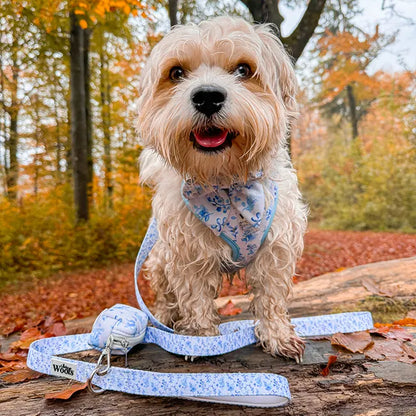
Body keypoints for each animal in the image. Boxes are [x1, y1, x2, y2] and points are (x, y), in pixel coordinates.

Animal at [138, 16, 308, 360]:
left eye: (243, 69)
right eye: (176, 73)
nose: (207, 96)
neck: (226, 185)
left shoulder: (275, 248)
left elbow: (271, 298)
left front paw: (278, 335)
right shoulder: (188, 253)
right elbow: (195, 298)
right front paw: (200, 338)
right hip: (159, 259)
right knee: (164, 296)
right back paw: (163, 318)